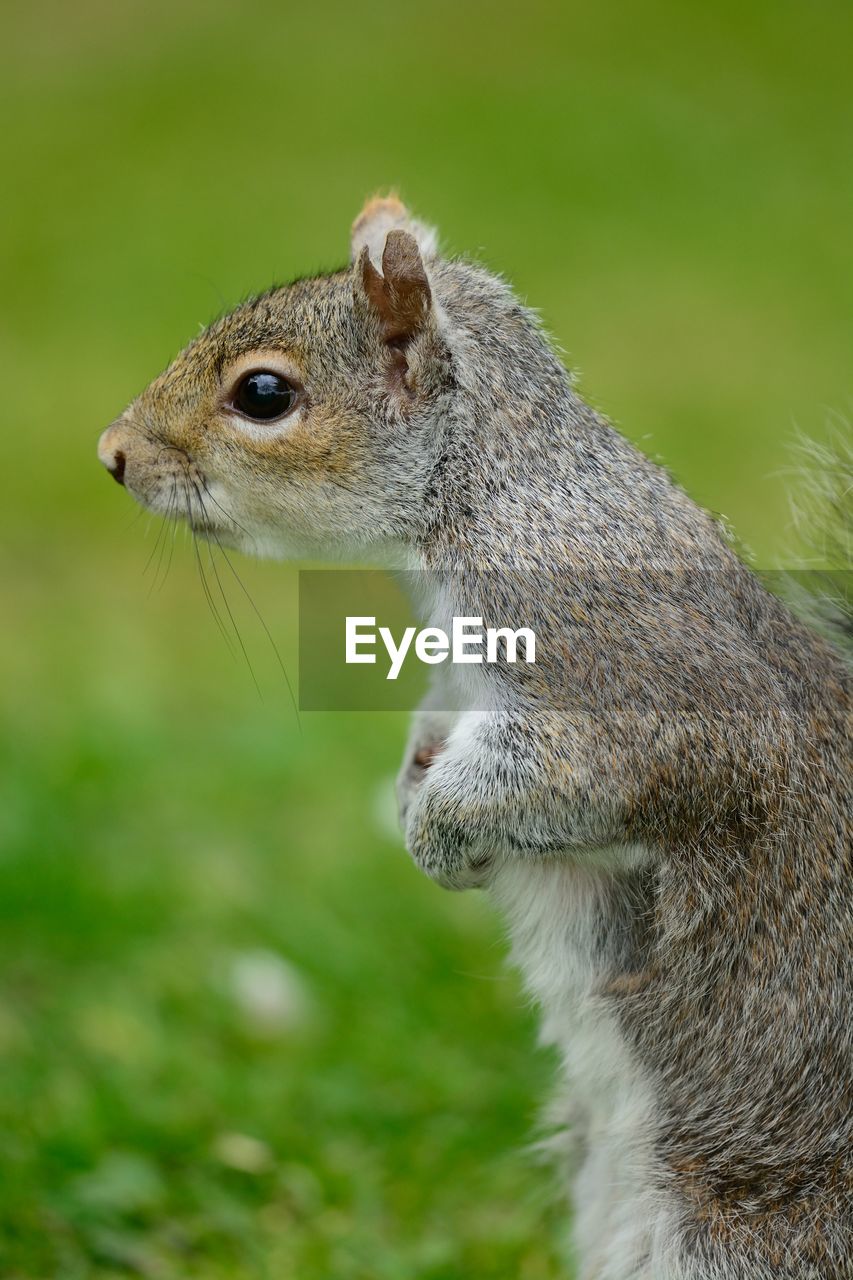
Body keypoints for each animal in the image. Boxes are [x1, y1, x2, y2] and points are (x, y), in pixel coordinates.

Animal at [101, 194, 850, 1274]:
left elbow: (623, 768)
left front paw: (439, 832)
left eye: (263, 394)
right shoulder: (458, 671)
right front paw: (411, 791)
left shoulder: (610, 654)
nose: (113, 455)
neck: (480, 490)